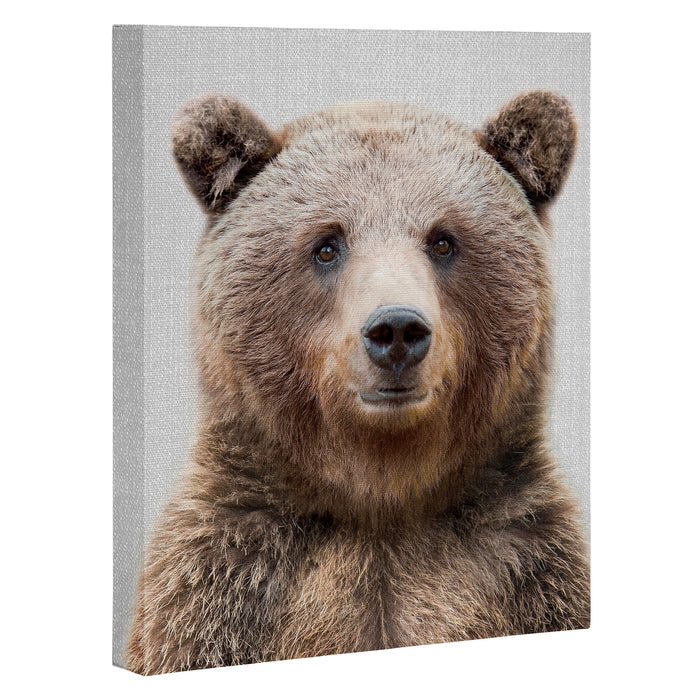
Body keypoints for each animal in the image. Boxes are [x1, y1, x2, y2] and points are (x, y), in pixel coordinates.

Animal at [127, 91, 590, 674]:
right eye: (327, 245)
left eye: (443, 240)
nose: (397, 329)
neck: (380, 496)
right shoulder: (222, 589)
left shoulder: (530, 571)